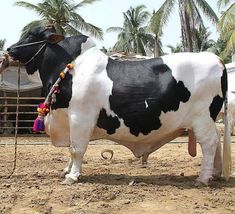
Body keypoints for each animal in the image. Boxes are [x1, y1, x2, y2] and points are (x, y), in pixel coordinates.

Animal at [6, 25, 232, 186]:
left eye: (31, 34)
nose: (9, 49)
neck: (68, 69)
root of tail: (216, 58)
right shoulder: (69, 119)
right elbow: (71, 147)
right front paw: (67, 170)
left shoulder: (80, 117)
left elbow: (77, 148)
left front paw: (72, 176)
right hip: (208, 120)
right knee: (217, 141)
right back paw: (215, 173)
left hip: (202, 118)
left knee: (210, 143)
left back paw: (203, 178)